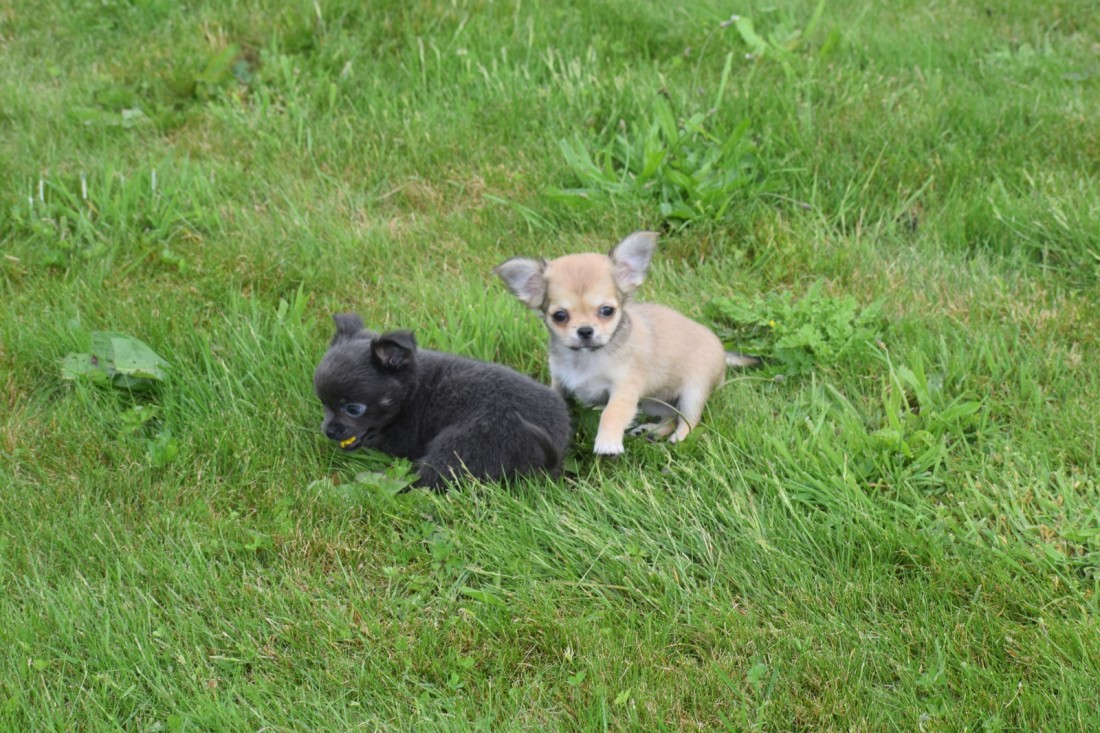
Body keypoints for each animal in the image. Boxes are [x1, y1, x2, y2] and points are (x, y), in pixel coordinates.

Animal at [313, 314, 572, 491]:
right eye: (323, 403)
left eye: (353, 409)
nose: (329, 430)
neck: (413, 388)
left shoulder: (402, 438)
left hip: (457, 447)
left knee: (426, 482)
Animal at [494, 231, 758, 455]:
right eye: (560, 316)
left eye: (607, 311)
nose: (585, 331)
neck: (586, 357)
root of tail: (722, 350)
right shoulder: (560, 380)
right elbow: (554, 398)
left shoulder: (624, 388)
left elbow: (612, 412)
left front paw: (607, 442)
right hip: (654, 402)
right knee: (670, 416)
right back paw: (651, 430)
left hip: (694, 390)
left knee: (688, 419)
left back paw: (678, 438)